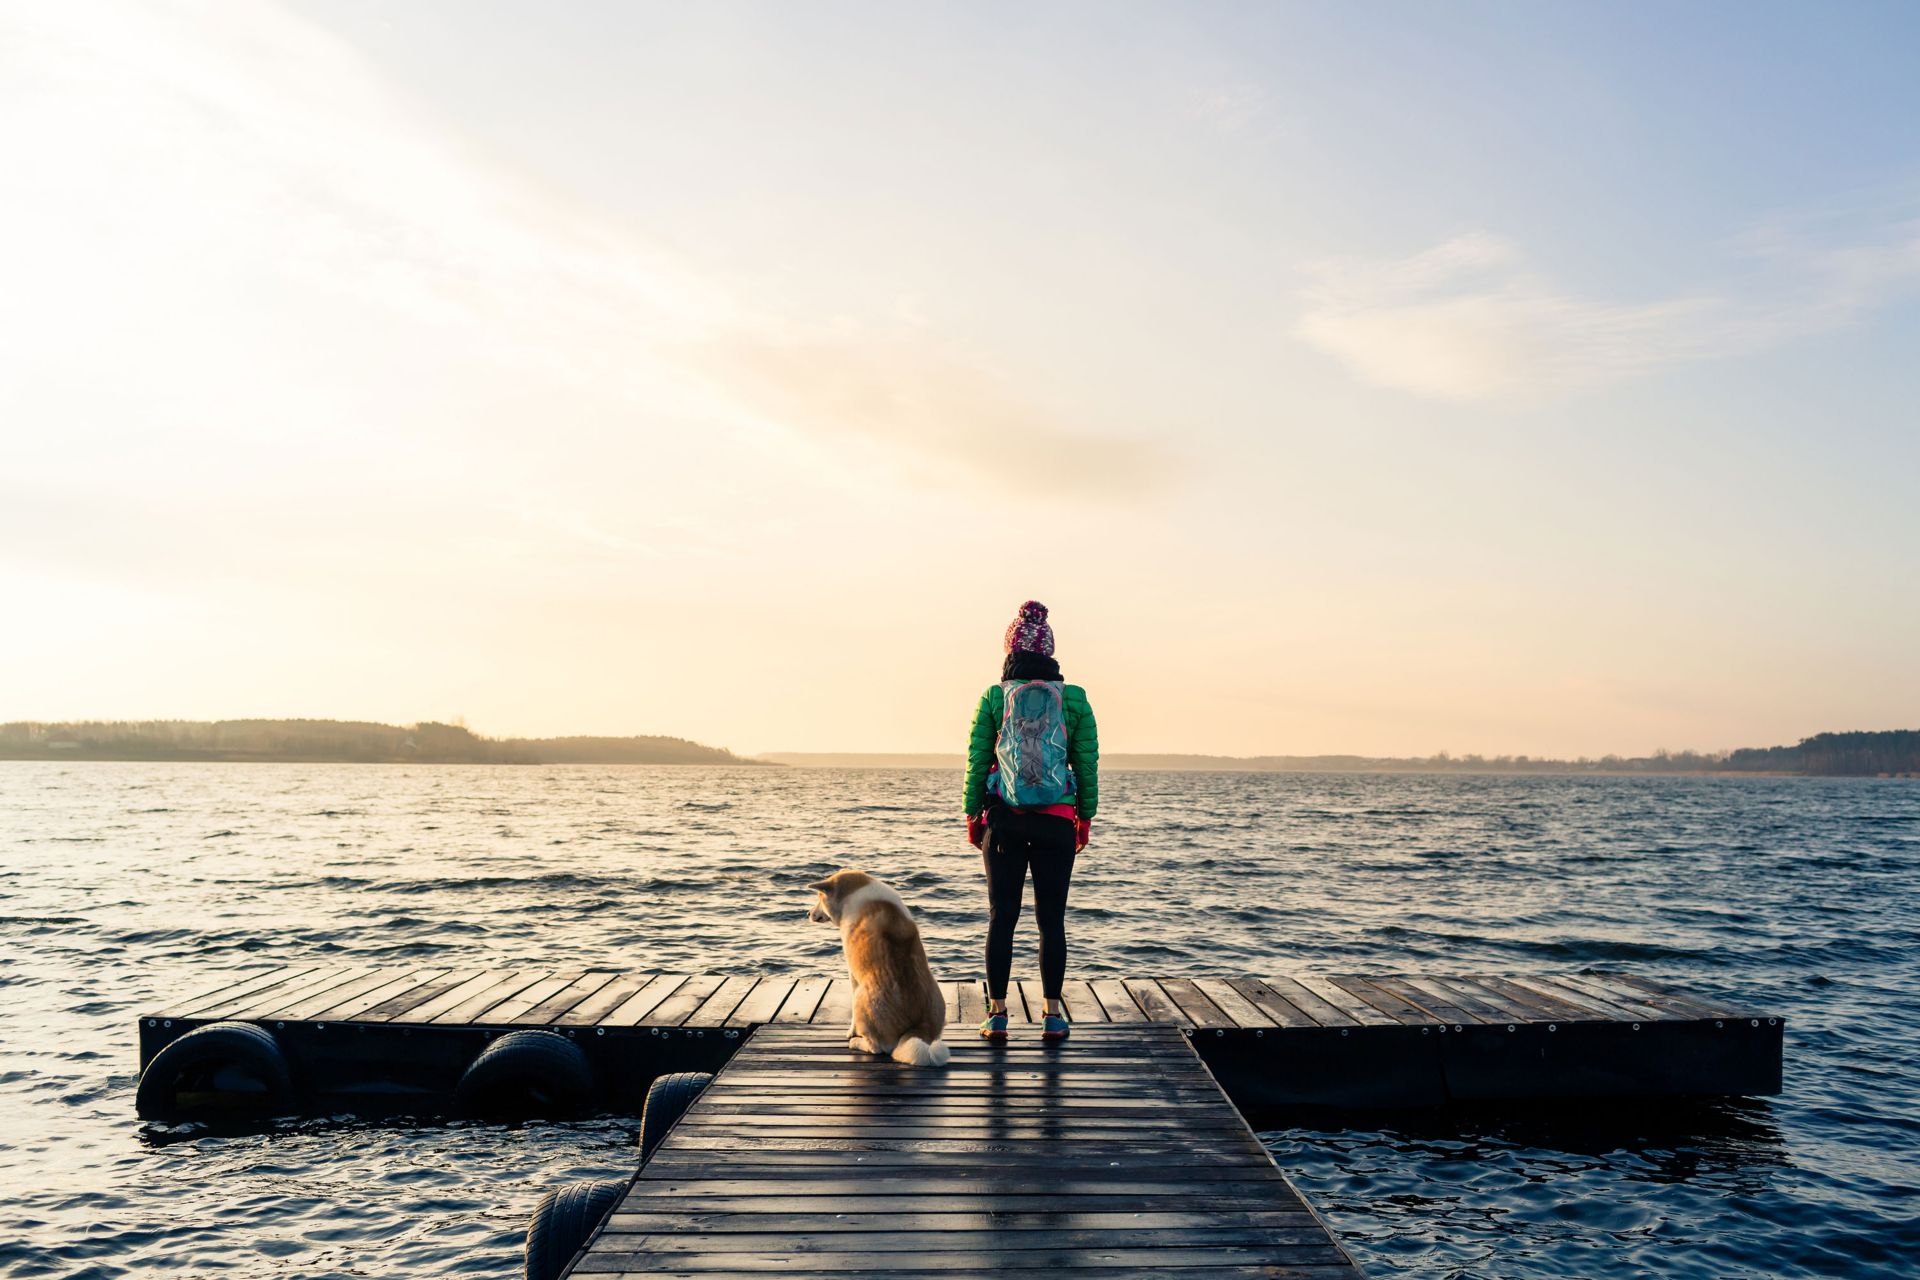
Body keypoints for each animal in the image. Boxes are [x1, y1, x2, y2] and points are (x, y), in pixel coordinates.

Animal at [810, 871, 952, 1074]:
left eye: (819, 898)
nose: (808, 913)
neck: (853, 892)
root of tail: (919, 1027)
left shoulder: (853, 975)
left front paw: (850, 1033)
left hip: (861, 999)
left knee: (875, 1047)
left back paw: (856, 1042)